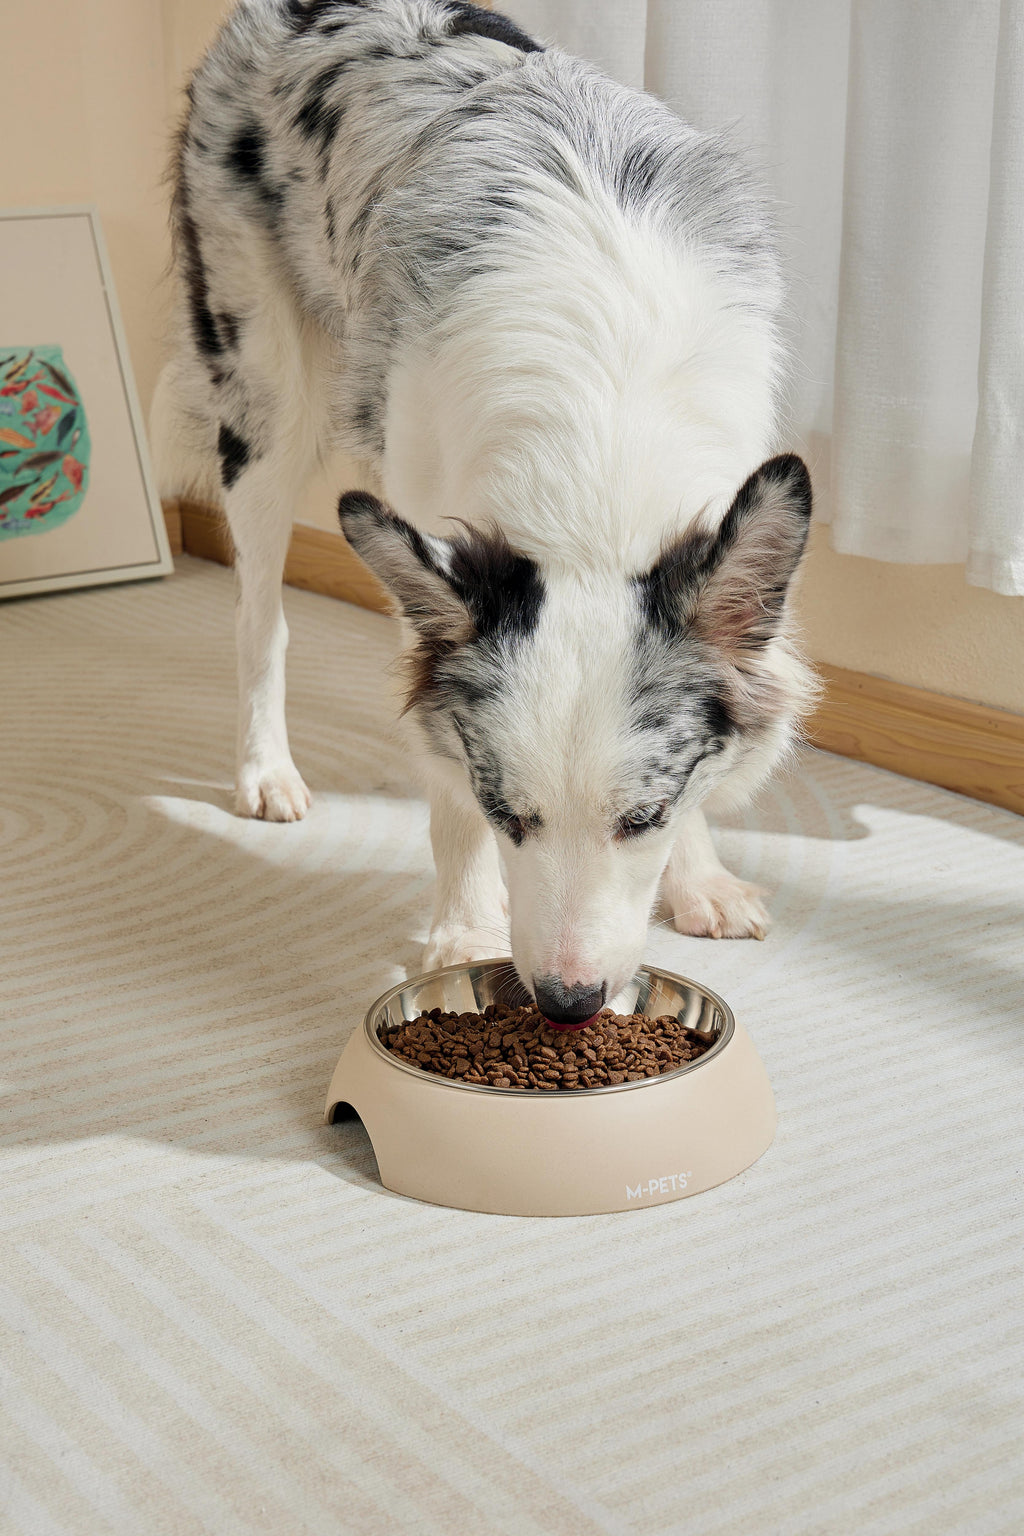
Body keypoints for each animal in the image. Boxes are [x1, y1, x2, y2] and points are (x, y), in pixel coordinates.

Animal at [156, 3, 816, 1032]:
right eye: (509, 813)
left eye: (642, 818)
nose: (569, 1002)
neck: (597, 480)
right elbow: (444, 784)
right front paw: (464, 937)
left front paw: (699, 879)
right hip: (269, 403)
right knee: (259, 614)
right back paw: (266, 770)